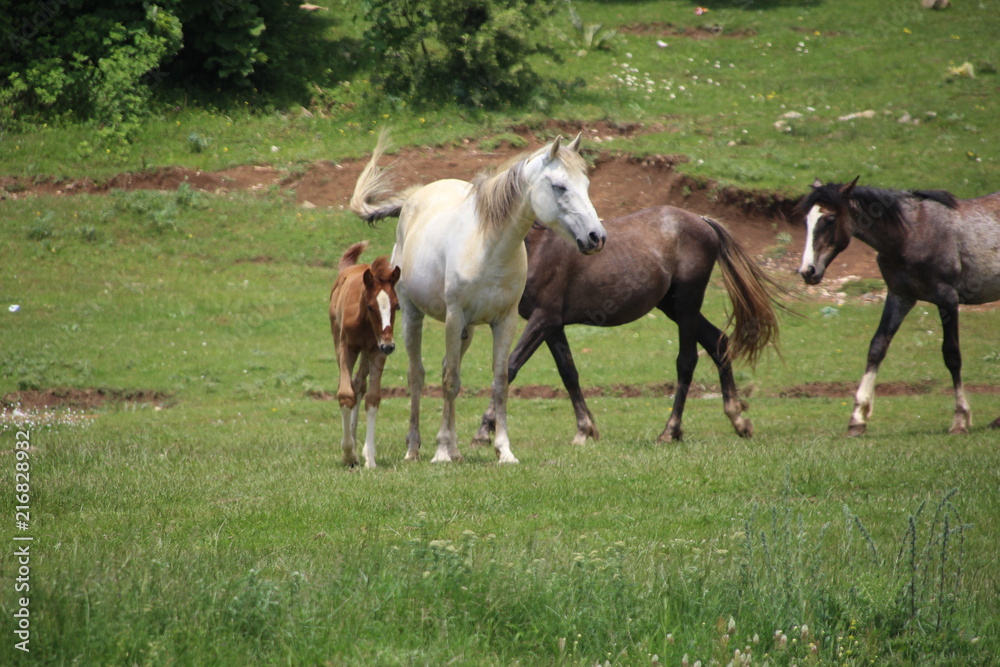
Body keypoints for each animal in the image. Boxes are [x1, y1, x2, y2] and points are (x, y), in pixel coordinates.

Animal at [332, 241, 402, 470]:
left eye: (397, 305)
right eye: (371, 306)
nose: (389, 345)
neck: (364, 322)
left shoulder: (376, 351)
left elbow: (372, 397)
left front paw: (369, 457)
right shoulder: (347, 347)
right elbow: (345, 393)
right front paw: (348, 454)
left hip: (367, 352)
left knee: (358, 384)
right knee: (351, 386)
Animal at [348, 132, 604, 464]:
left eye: (585, 184)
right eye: (559, 186)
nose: (596, 237)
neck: (488, 248)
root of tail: (415, 198)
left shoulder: (504, 321)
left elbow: (499, 381)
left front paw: (503, 450)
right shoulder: (454, 316)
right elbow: (448, 380)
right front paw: (441, 451)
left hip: (465, 332)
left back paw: (455, 449)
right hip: (414, 317)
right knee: (417, 376)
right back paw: (415, 447)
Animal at [472, 207, 784, 448]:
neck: (535, 244)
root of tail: (702, 220)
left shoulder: (543, 319)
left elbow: (509, 368)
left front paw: (483, 431)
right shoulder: (553, 326)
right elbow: (568, 373)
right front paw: (585, 429)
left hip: (687, 304)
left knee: (687, 361)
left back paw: (670, 431)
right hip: (673, 306)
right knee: (718, 342)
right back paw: (737, 419)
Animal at [796, 177, 1000, 436]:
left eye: (830, 219)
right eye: (806, 220)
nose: (807, 271)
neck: (911, 234)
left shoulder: (948, 299)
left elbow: (952, 355)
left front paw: (960, 420)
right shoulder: (899, 297)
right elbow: (877, 347)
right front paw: (858, 418)